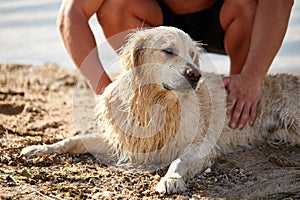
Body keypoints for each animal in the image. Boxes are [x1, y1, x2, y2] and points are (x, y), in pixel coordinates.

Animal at [22, 26, 298, 194]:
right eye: (168, 51)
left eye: (192, 55)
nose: (195, 75)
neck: (156, 102)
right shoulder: (125, 140)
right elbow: (75, 139)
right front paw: (39, 148)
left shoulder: (201, 145)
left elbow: (179, 160)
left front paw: (170, 179)